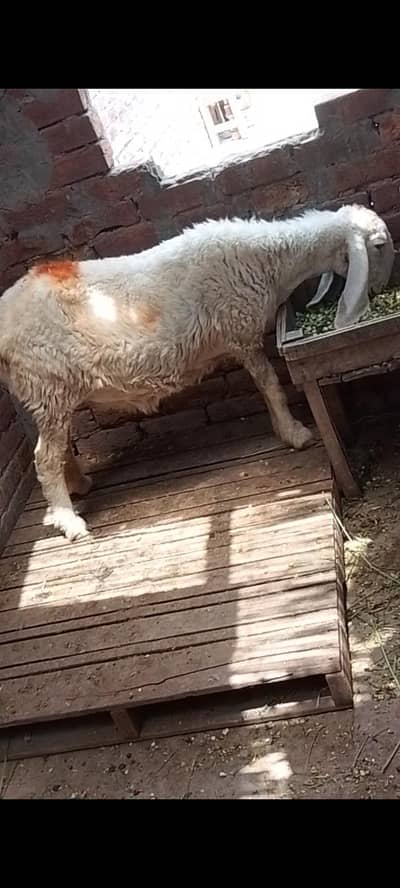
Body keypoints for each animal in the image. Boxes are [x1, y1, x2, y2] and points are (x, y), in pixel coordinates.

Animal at [0, 203, 394, 541]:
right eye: (378, 245)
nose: (382, 288)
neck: (270, 261)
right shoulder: (241, 331)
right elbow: (270, 385)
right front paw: (294, 433)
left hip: (48, 394)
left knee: (57, 446)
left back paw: (77, 485)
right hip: (48, 383)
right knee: (44, 457)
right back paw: (69, 520)